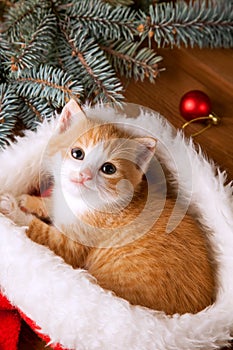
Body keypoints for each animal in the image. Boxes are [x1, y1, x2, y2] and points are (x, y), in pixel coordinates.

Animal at [0, 100, 216, 316]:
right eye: (77, 153)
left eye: (108, 169)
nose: (84, 175)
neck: (81, 203)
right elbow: (51, 203)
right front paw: (28, 201)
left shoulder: (70, 246)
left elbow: (38, 231)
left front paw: (12, 208)